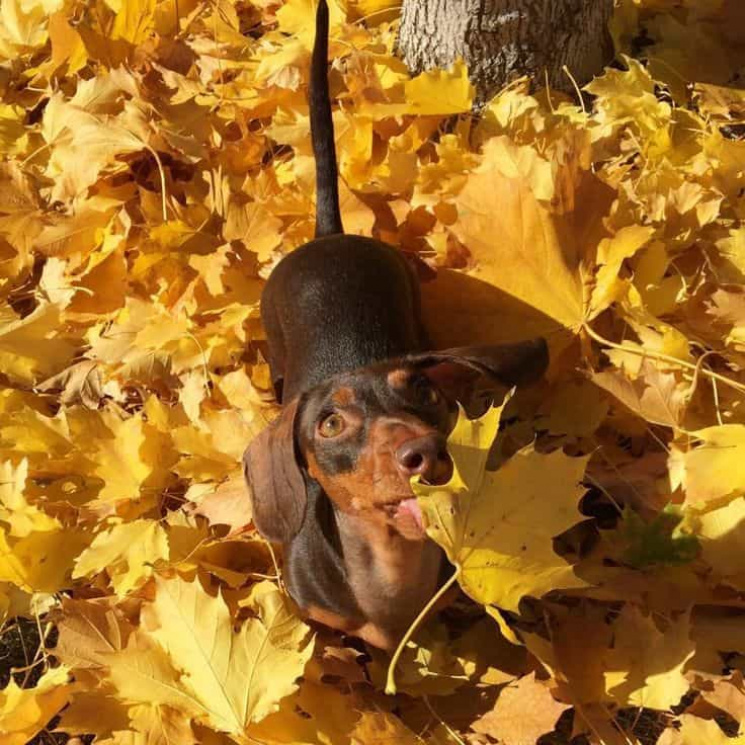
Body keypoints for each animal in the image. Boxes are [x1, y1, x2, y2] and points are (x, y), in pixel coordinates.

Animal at [244, 0, 548, 652]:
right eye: (330, 423)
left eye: (426, 392)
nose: (425, 453)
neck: (388, 572)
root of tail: (329, 235)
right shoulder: (321, 623)